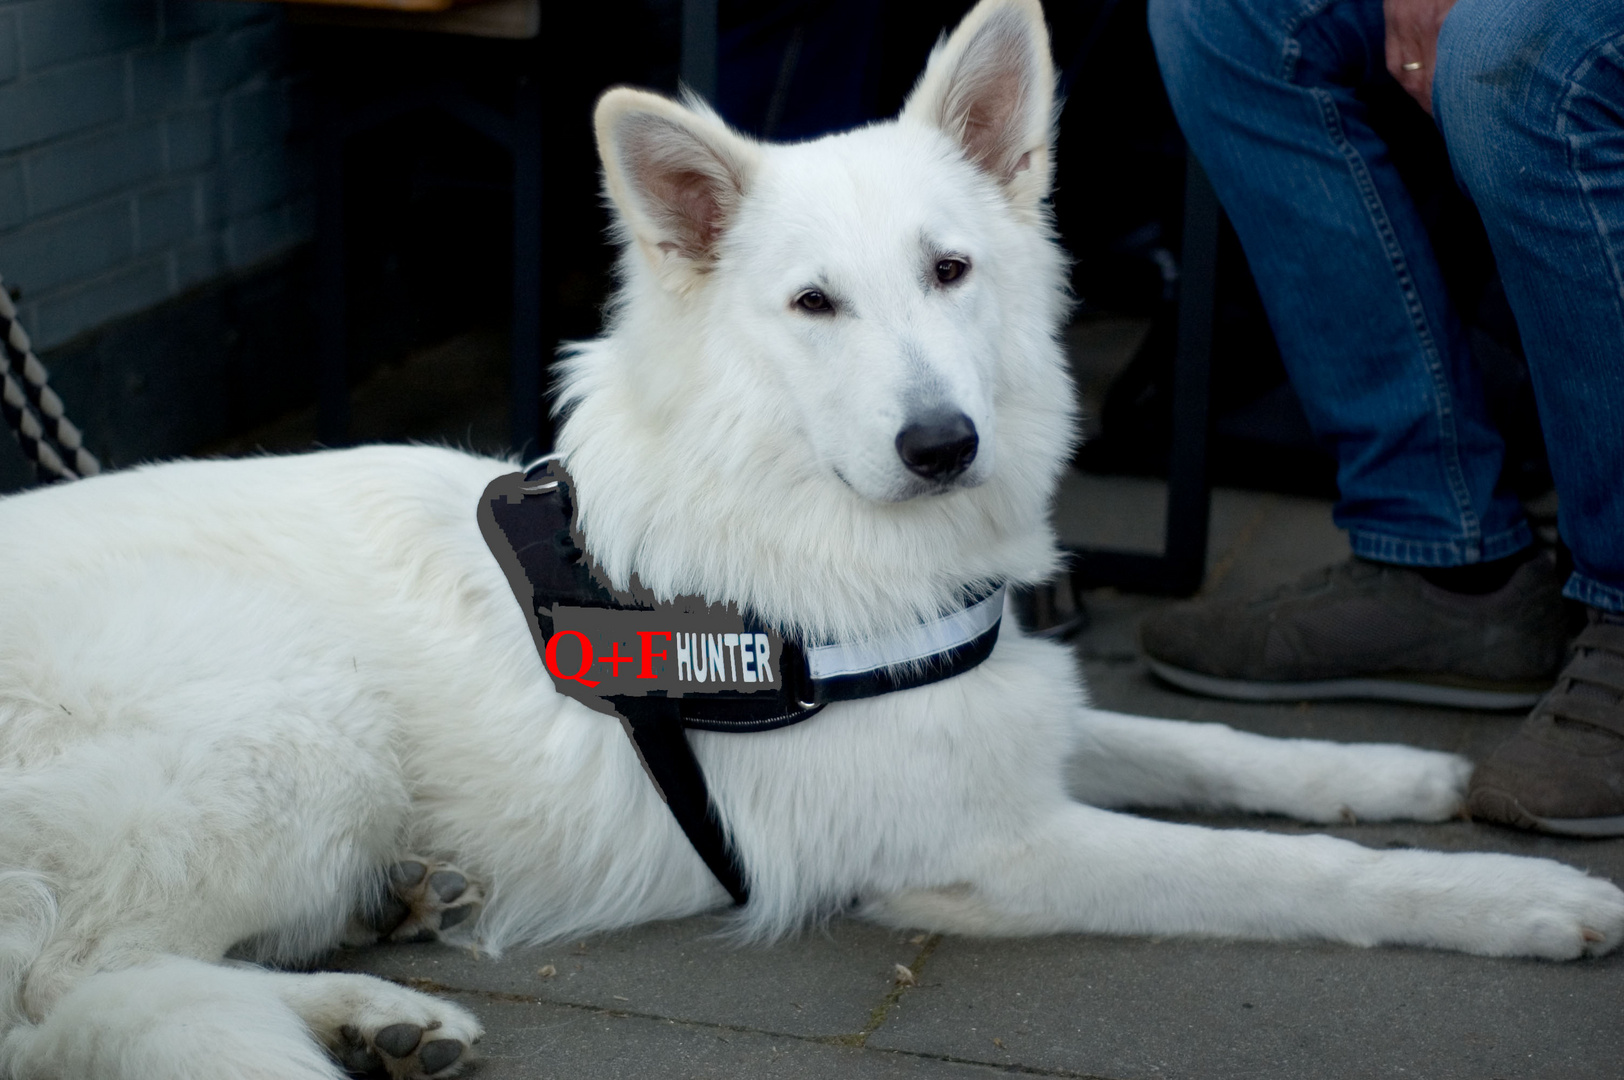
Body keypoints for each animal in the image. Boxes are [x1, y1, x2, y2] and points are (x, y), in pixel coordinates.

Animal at [3, 4, 1624, 1071]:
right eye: (814, 304)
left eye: (950, 270)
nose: (941, 445)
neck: (801, 522)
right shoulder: (990, 849)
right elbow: (1289, 877)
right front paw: (1522, 899)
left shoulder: (1010, 712)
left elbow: (1219, 752)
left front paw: (1397, 770)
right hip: (291, 726)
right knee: (74, 987)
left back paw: (386, 996)